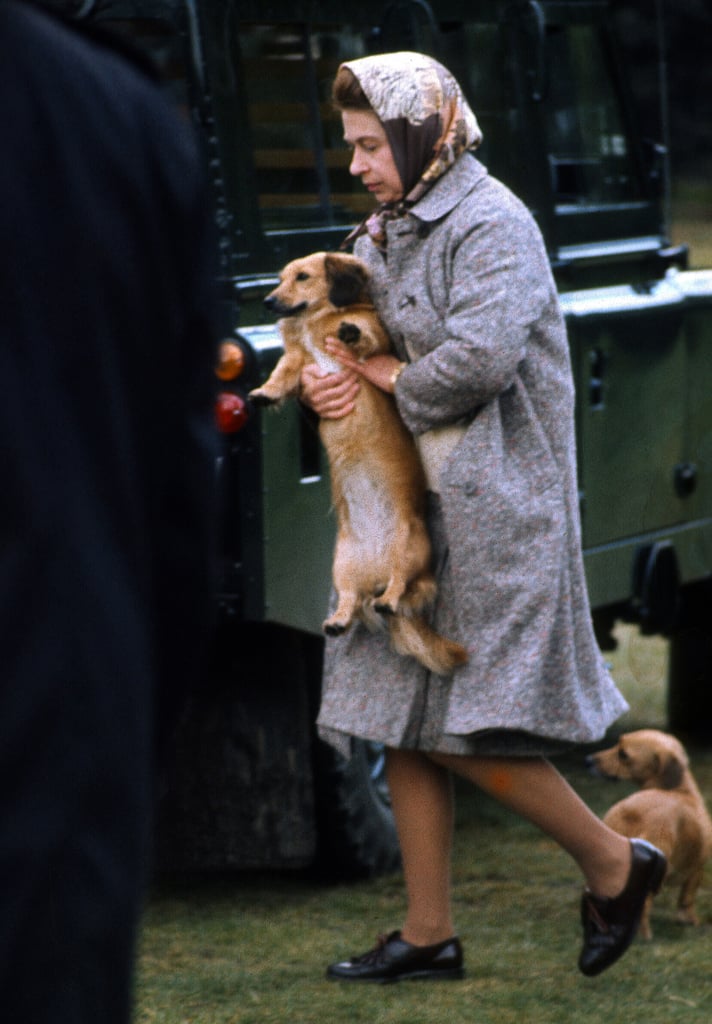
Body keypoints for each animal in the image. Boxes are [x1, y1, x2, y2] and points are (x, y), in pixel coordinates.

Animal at [247, 249, 471, 671]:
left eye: (302, 277)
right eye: (281, 278)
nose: (267, 302)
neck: (314, 323)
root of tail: (375, 571)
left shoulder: (374, 339)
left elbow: (366, 333)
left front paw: (349, 331)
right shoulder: (298, 362)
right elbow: (282, 373)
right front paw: (264, 392)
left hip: (408, 550)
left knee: (399, 590)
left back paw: (388, 599)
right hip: (342, 568)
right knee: (353, 601)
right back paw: (338, 620)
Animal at [590, 733, 712, 937]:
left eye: (623, 754)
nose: (587, 760)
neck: (680, 789)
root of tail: (631, 812)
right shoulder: (696, 869)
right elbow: (686, 899)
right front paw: (690, 921)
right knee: (643, 905)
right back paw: (644, 934)